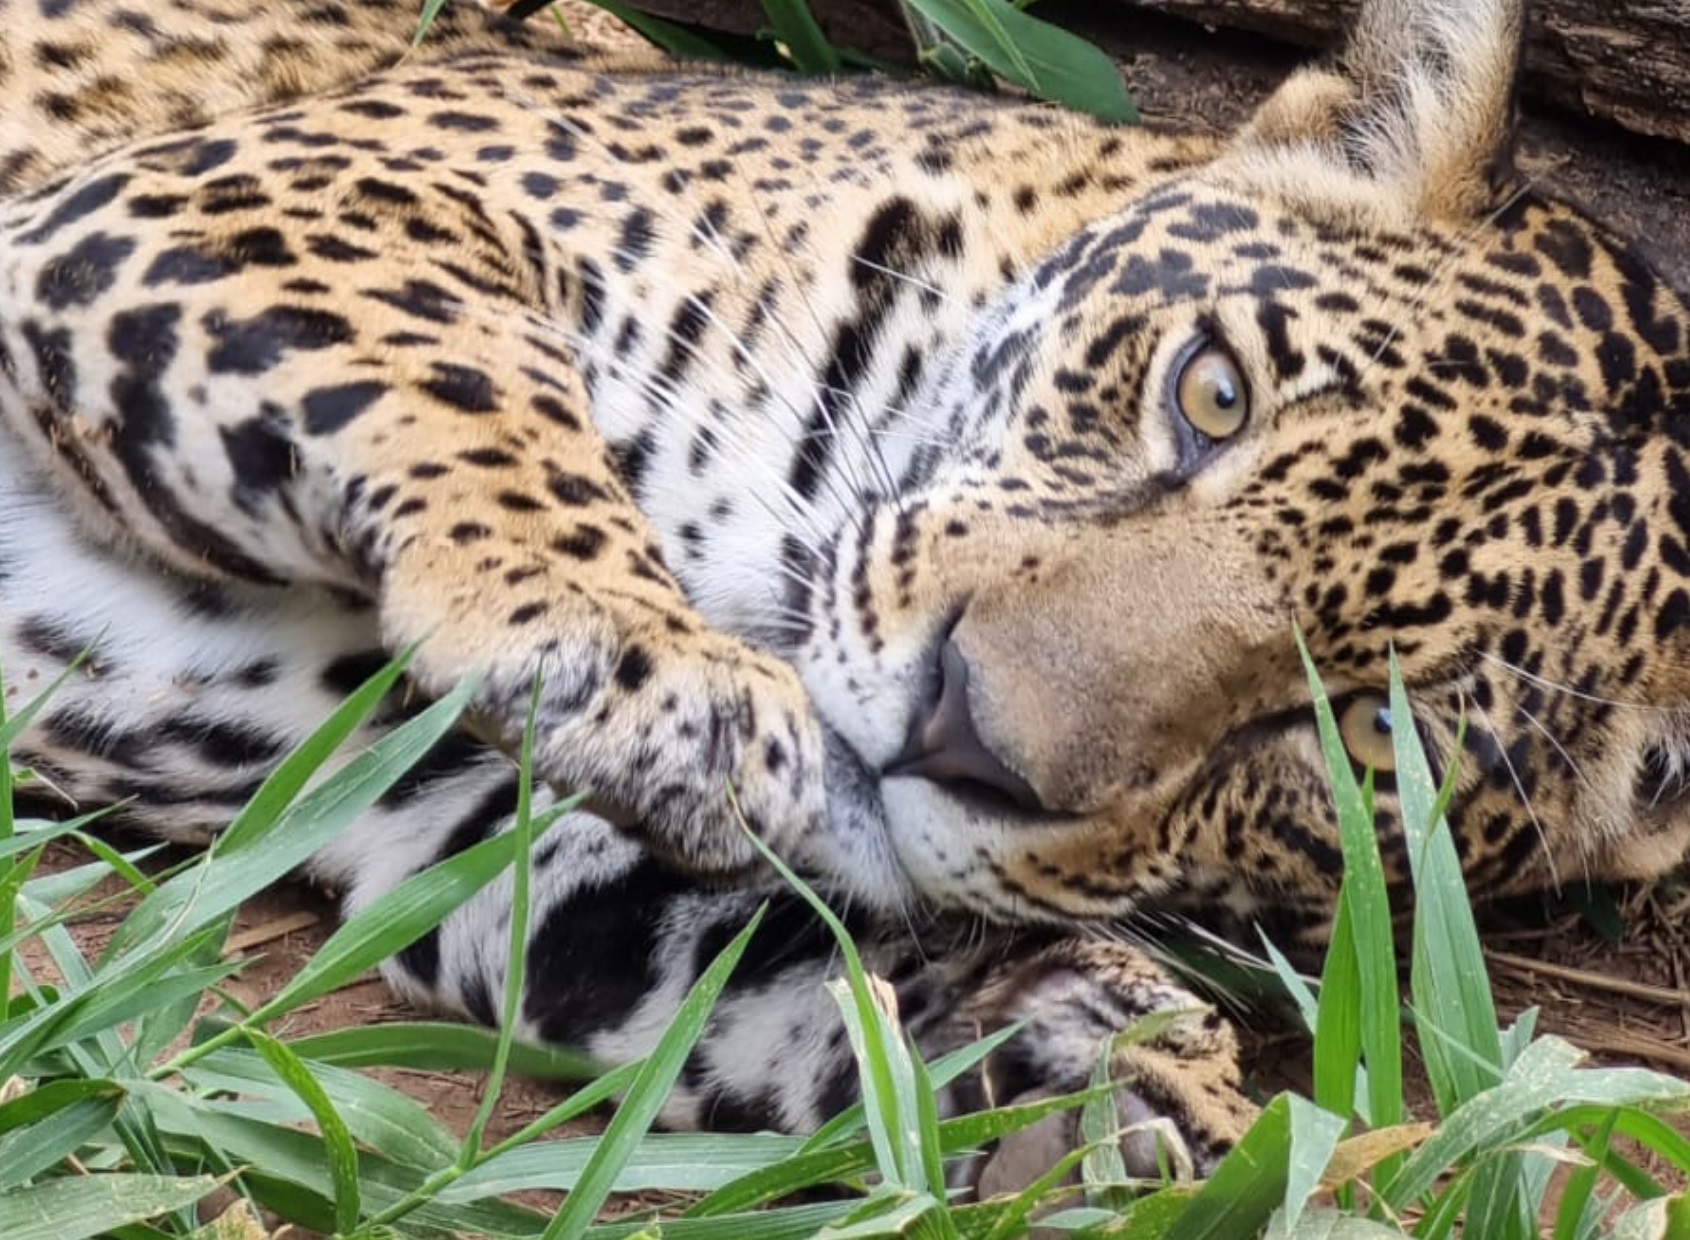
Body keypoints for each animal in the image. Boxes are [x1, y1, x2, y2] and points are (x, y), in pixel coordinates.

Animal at [3, 0, 1689, 1187]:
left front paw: (1116, 1081)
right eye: (1210, 395)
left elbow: (776, 951)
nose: (963, 733)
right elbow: (453, 375)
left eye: (1354, 733)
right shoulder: (245, 189)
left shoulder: (428, 804)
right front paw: (644, 660)